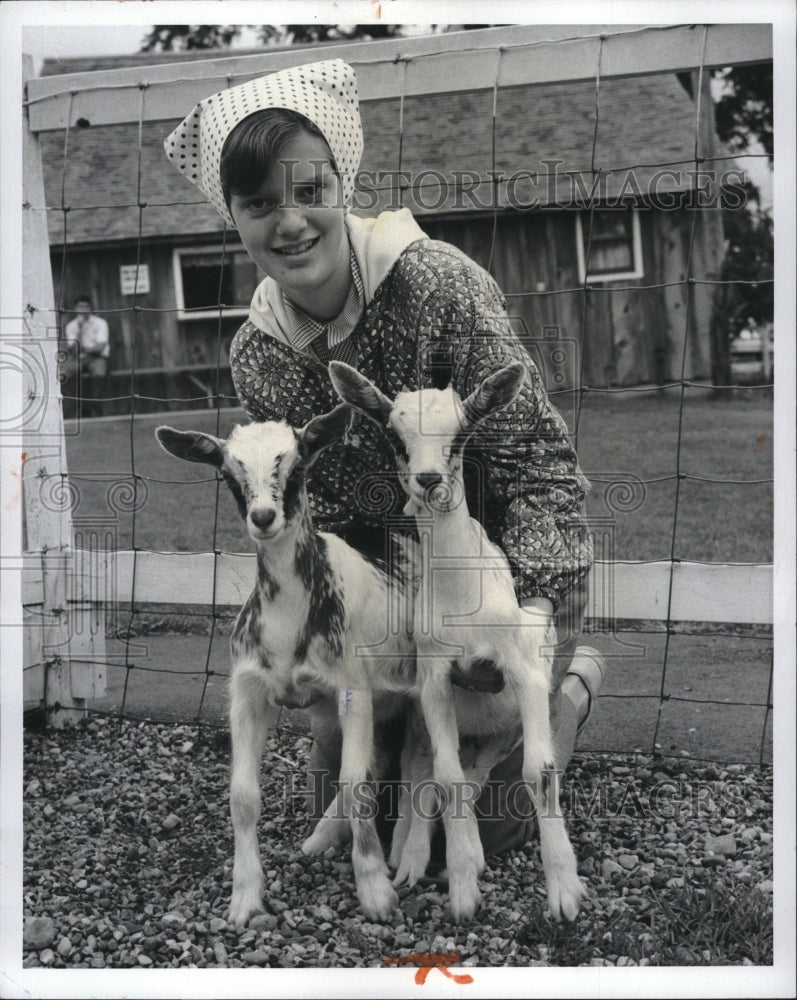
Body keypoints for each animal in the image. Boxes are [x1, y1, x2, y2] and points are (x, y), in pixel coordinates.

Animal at [156, 408, 416, 928]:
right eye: (228, 475)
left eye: (296, 468)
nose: (263, 518)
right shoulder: (248, 690)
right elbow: (242, 796)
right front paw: (243, 898)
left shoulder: (353, 687)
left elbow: (354, 782)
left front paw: (376, 893)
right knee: (377, 758)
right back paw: (318, 840)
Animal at [328, 358, 584, 920]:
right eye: (395, 436)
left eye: (460, 434)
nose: (428, 481)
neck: (462, 599)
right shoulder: (435, 680)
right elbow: (443, 780)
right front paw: (464, 893)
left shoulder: (523, 670)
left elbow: (539, 771)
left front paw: (564, 894)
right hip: (421, 721)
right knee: (427, 774)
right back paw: (412, 859)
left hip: (498, 733)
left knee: (474, 776)